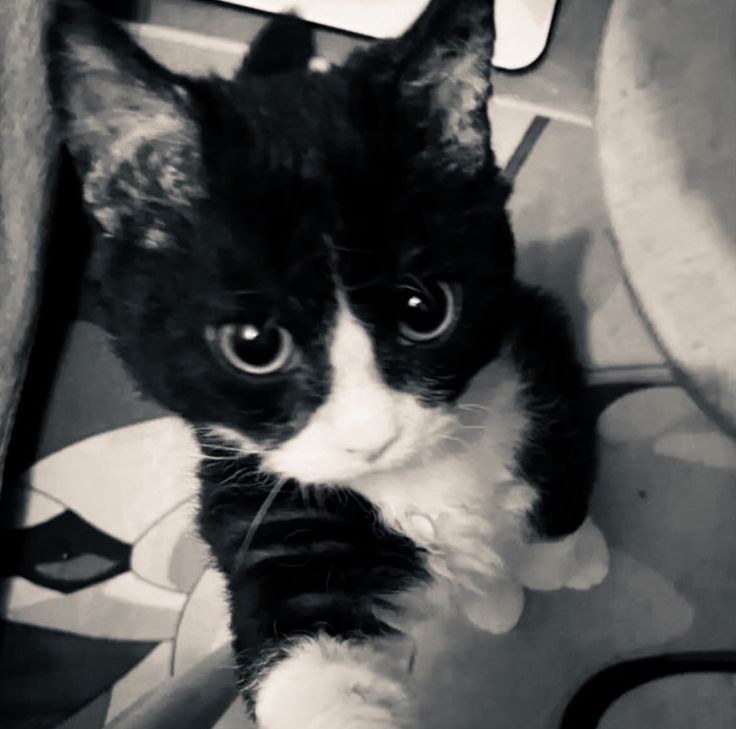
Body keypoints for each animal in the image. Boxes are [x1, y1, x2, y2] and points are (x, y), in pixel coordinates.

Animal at [49, 2, 608, 724]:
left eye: (424, 309)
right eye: (253, 345)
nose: (373, 436)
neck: (420, 475)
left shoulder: (536, 341)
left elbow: (562, 466)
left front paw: (566, 557)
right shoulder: (265, 507)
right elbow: (310, 650)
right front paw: (509, 590)